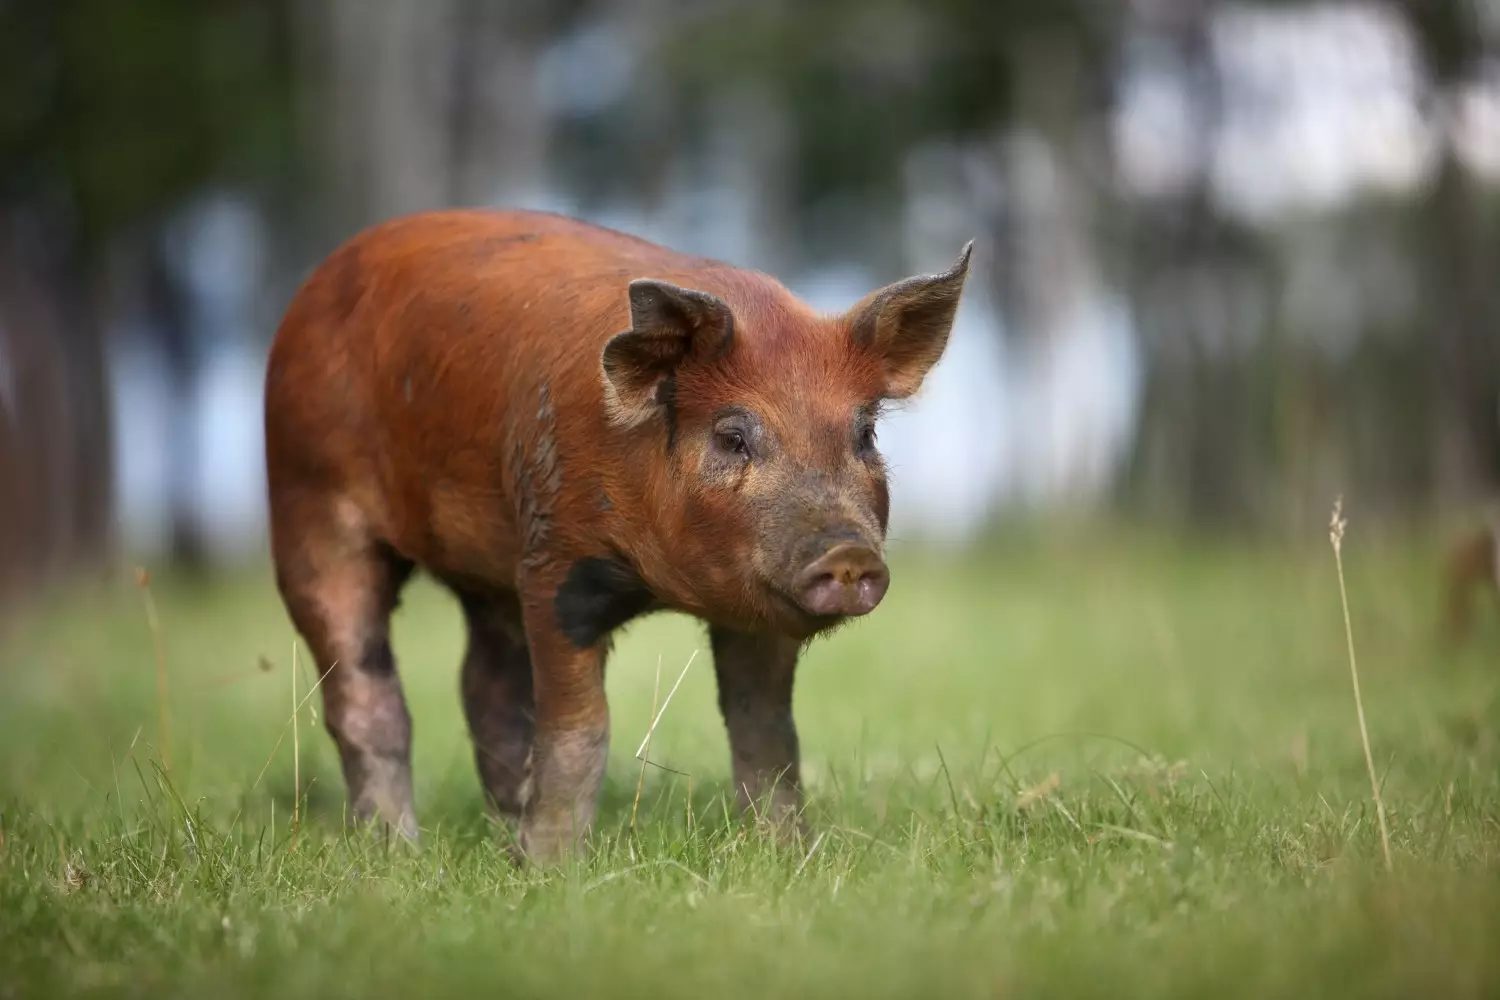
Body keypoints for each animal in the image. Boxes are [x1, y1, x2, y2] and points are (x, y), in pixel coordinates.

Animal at [265, 209, 972, 863]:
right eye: (732, 436)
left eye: (865, 434)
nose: (847, 553)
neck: (664, 587)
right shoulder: (554, 564)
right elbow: (579, 728)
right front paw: (552, 871)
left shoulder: (757, 611)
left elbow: (767, 731)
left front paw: (789, 856)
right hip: (307, 505)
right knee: (365, 693)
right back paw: (396, 851)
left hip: (487, 577)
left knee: (486, 690)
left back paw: (498, 840)